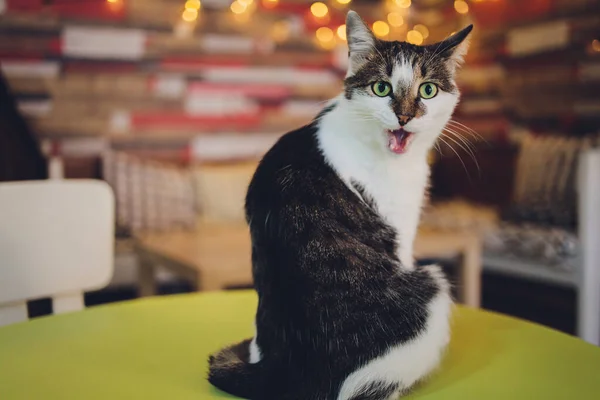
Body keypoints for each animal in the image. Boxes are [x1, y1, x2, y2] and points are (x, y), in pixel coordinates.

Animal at [209, 10, 472, 400]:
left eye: (428, 89)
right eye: (381, 88)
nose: (405, 116)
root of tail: (286, 374)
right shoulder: (401, 229)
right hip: (432, 290)